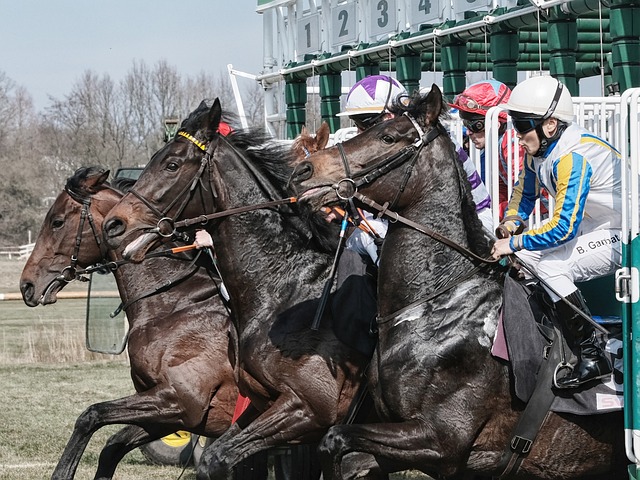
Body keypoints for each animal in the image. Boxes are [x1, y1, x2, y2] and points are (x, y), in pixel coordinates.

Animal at [21, 167, 240, 478]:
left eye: (57, 221)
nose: (26, 286)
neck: (175, 304)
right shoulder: (169, 414)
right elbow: (111, 446)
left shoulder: (181, 401)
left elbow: (90, 415)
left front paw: (62, 472)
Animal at [288, 86, 624, 480]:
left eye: (388, 136)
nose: (303, 171)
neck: (435, 306)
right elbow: (342, 452)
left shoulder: (441, 441)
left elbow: (334, 438)